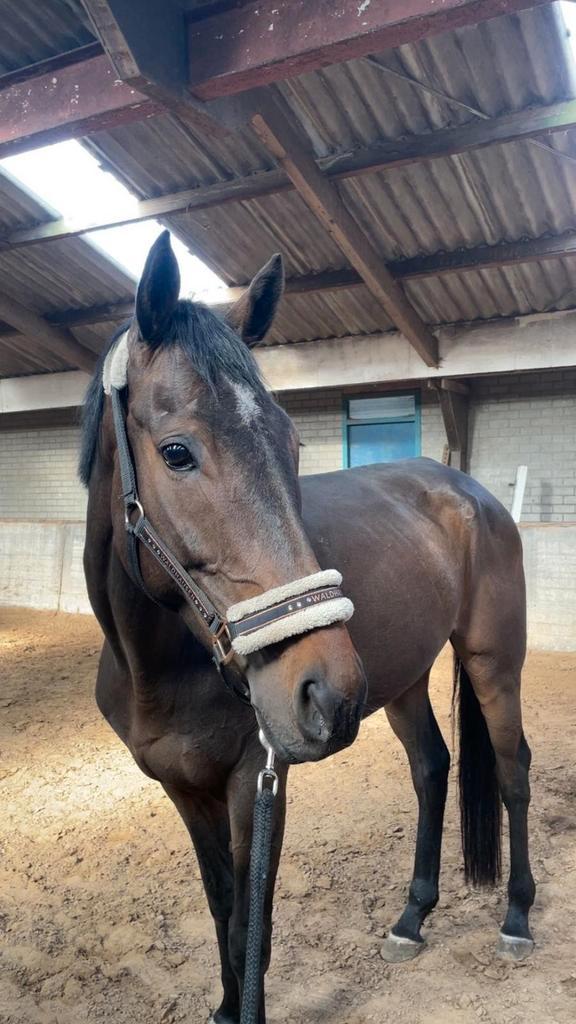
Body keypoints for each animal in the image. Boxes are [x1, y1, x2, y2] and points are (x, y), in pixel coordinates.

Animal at [81, 230, 535, 1024]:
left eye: (291, 445)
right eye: (176, 452)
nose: (322, 690)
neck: (156, 668)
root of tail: (471, 491)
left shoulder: (255, 783)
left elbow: (248, 928)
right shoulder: (184, 793)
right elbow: (219, 909)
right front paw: (226, 1007)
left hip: (492, 664)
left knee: (513, 771)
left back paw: (515, 918)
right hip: (403, 682)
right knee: (432, 767)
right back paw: (412, 919)